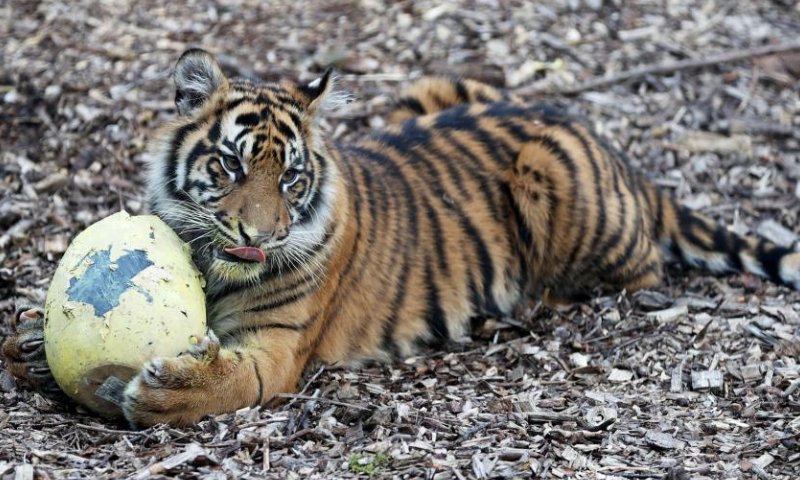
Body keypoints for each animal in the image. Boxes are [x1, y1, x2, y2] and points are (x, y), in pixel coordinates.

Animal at [1, 49, 800, 428]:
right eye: (229, 165)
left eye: (292, 178)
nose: (261, 235)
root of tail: (620, 155)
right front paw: (31, 347)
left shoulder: (276, 349)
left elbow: (229, 381)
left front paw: (165, 393)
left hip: (552, 176)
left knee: (635, 278)